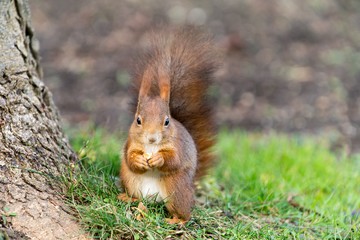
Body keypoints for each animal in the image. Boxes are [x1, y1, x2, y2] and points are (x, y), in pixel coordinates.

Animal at [119, 27, 218, 224]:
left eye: (166, 121)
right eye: (138, 120)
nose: (152, 138)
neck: (151, 147)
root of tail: (153, 199)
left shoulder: (178, 145)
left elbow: (174, 160)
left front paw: (158, 159)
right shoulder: (131, 143)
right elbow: (129, 157)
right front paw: (139, 160)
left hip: (176, 188)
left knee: (185, 211)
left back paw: (177, 220)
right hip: (129, 179)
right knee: (136, 196)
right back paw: (127, 197)